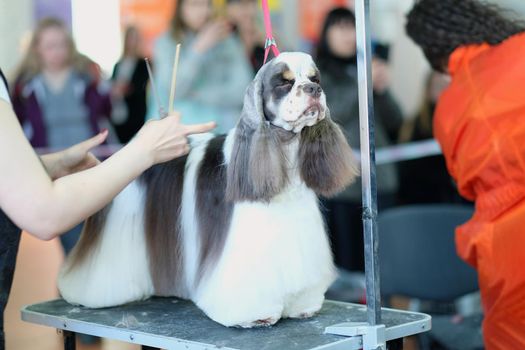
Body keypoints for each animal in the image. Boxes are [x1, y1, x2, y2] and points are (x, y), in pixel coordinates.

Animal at [58, 52, 360, 328]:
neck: (281, 149)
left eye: (314, 78)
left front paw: (301, 306)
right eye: (284, 83)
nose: (314, 90)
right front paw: (257, 315)